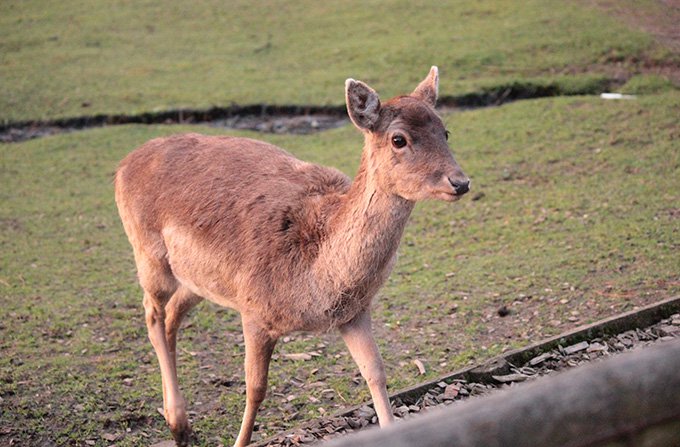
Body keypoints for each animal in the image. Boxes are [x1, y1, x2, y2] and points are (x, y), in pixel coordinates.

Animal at [114, 65, 470, 446]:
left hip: (199, 280)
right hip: (148, 254)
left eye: (445, 131)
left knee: (173, 315)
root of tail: (123, 165)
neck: (318, 280)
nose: (460, 182)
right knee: (152, 312)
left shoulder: (355, 313)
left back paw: (179, 424)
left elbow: (376, 372)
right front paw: (239, 440)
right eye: (398, 139)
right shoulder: (254, 309)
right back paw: (178, 422)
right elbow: (255, 388)